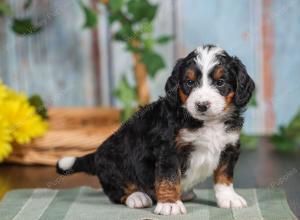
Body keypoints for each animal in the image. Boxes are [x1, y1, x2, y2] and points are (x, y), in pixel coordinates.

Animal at [56, 44, 255, 215]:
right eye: (189, 83)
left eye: (220, 82)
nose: (202, 105)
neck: (207, 123)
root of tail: (97, 153)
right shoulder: (169, 150)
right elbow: (169, 178)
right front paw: (169, 204)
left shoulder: (229, 146)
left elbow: (224, 175)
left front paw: (228, 198)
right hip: (114, 162)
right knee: (117, 191)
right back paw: (137, 197)